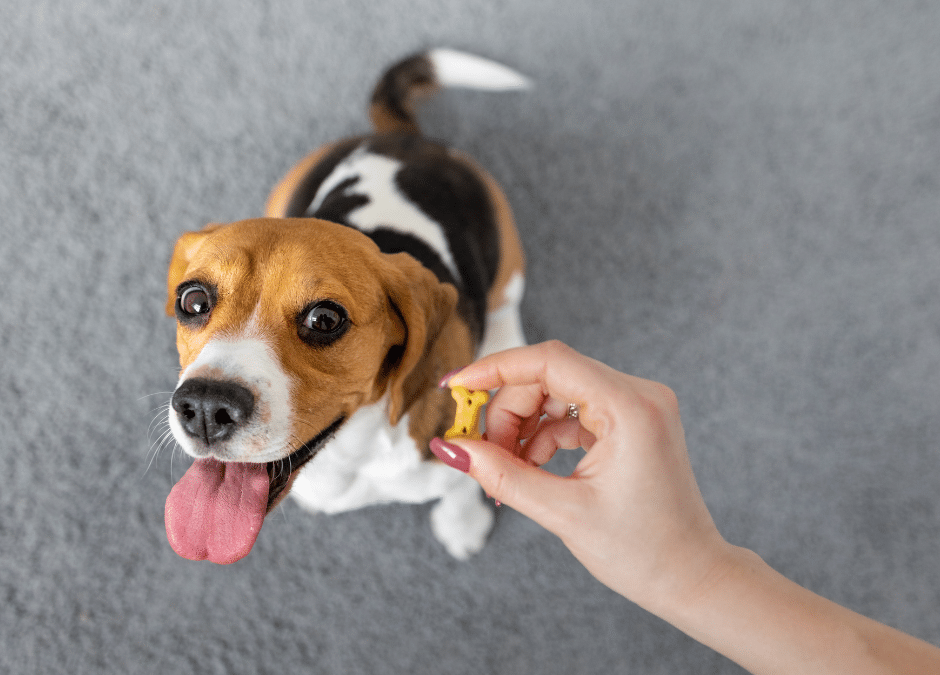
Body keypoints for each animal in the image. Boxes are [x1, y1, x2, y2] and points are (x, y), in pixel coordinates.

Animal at [162, 50, 528, 564]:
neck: (353, 450)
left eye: (324, 319)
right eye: (193, 300)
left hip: (508, 260)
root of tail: (404, 137)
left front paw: (463, 526)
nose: (206, 407)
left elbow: (460, 487)